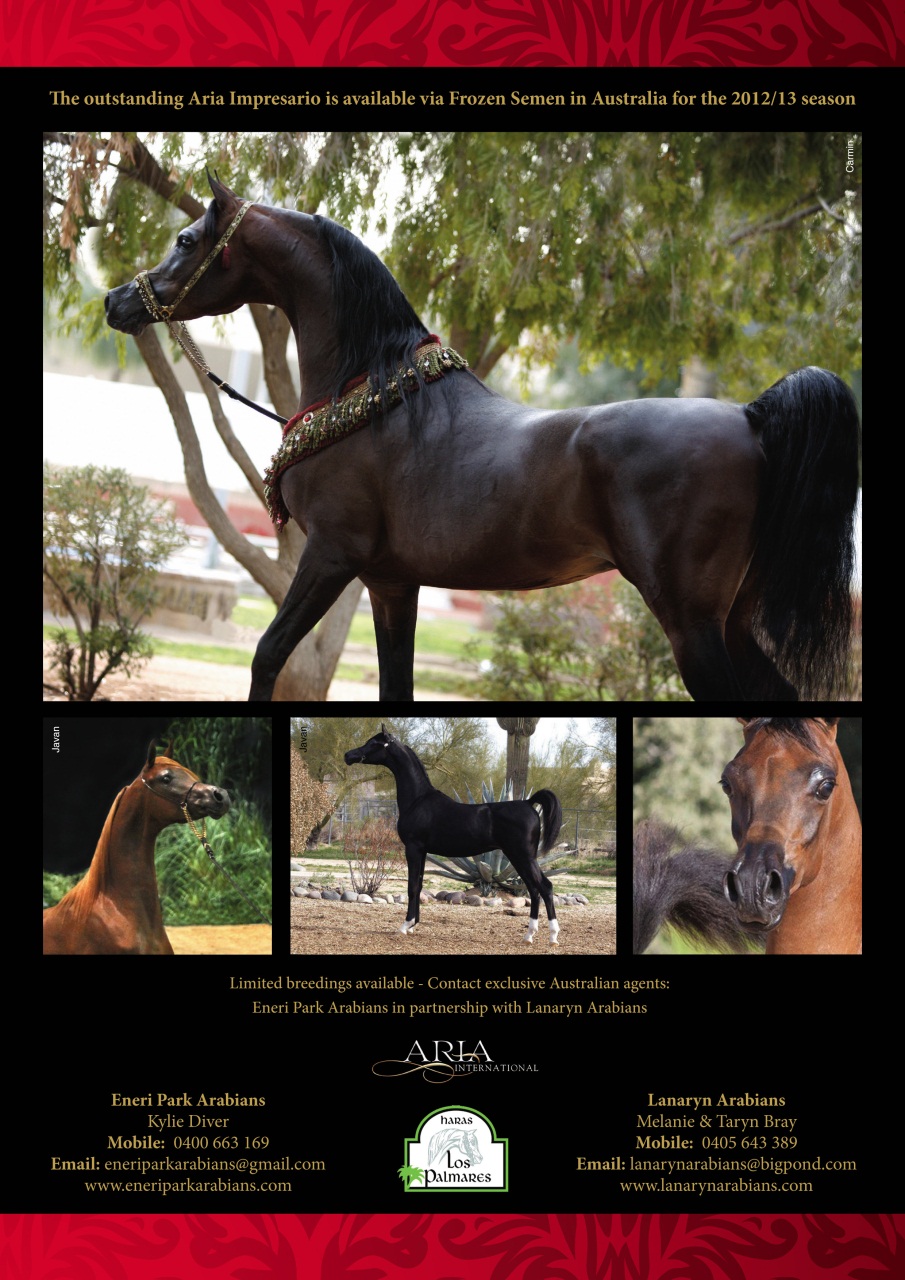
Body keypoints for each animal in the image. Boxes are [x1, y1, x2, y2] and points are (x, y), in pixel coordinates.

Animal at [104, 175, 860, 703]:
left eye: (186, 241)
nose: (117, 301)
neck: (370, 385)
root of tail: (750, 417)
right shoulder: (391, 584)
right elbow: (394, 690)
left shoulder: (329, 556)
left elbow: (267, 654)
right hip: (731, 620)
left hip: (692, 622)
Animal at [344, 726, 563, 943]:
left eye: (374, 743)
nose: (348, 755)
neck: (418, 800)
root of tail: (528, 803)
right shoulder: (422, 852)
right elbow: (419, 885)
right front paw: (414, 925)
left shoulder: (413, 848)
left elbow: (412, 887)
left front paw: (405, 926)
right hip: (518, 857)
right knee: (534, 890)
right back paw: (529, 935)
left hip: (522, 856)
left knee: (545, 887)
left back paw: (552, 936)